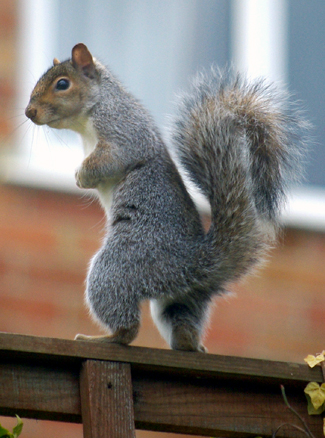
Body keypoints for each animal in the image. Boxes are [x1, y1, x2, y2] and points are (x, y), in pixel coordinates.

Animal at [26, 43, 306, 352]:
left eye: (62, 84)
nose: (29, 112)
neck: (94, 109)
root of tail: (193, 263)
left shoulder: (122, 129)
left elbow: (114, 158)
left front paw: (82, 176)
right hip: (180, 300)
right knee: (182, 328)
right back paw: (192, 344)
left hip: (121, 264)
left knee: (127, 328)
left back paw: (105, 337)